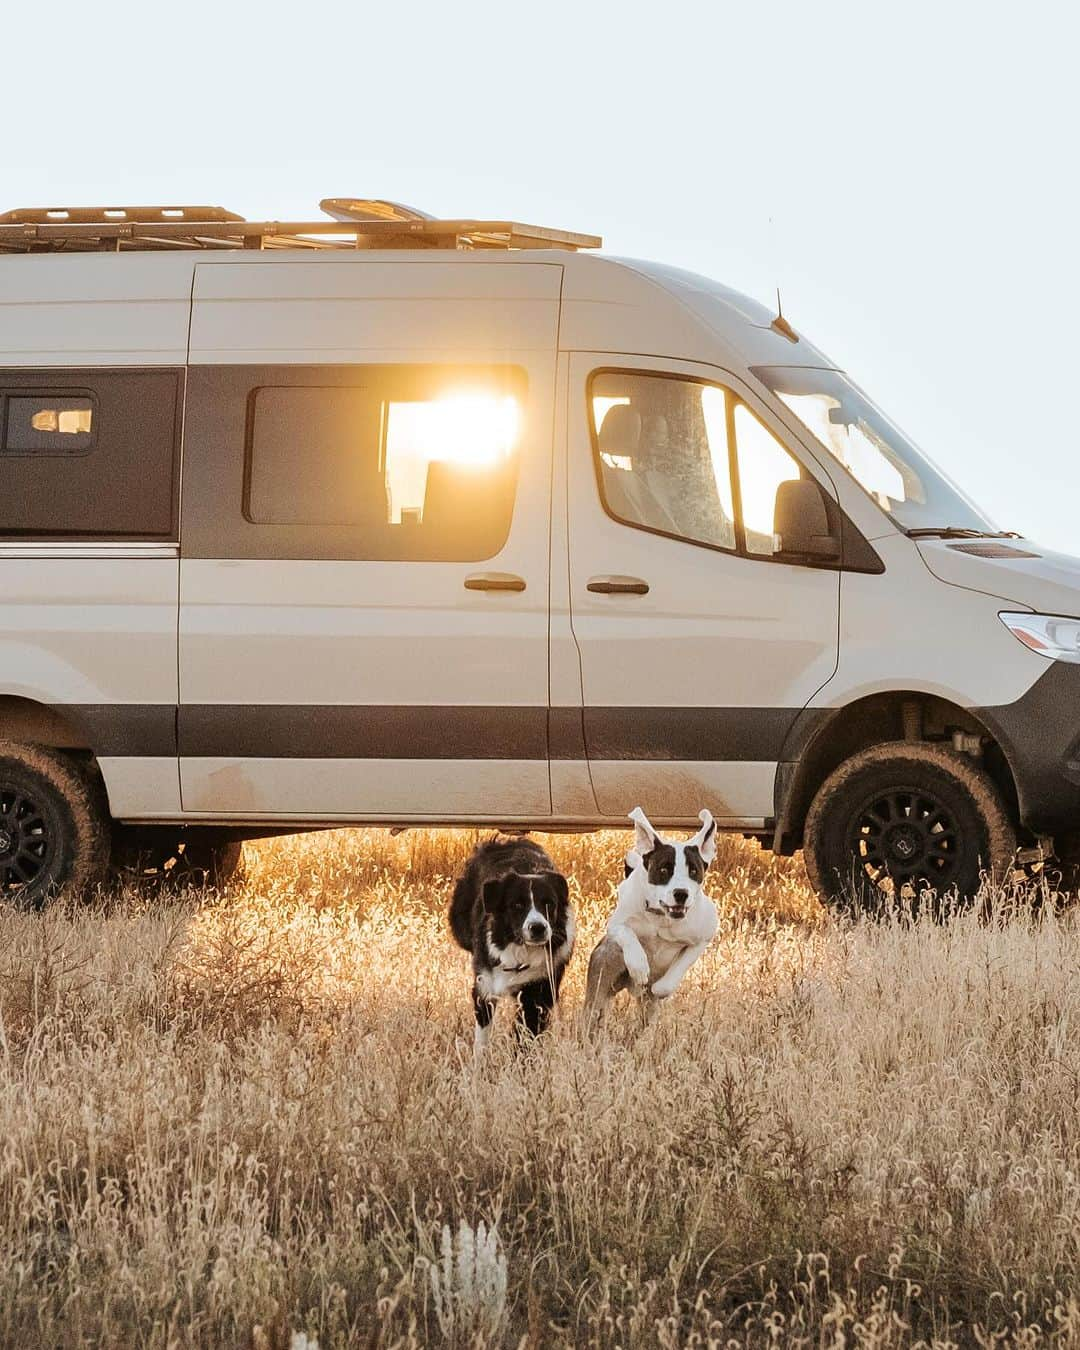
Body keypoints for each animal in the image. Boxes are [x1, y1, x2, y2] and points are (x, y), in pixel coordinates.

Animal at [448, 842, 577, 1053]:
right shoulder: (485, 985)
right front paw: (479, 1060)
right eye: (517, 905)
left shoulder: (537, 992)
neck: (520, 953)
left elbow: (526, 1034)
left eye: (549, 904)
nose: (538, 928)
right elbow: (482, 1034)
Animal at [583, 804, 718, 1015]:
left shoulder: (704, 936)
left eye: (694, 871)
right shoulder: (616, 923)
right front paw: (638, 967)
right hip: (599, 993)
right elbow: (628, 935)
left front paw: (658, 987)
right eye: (664, 870)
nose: (681, 893)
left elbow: (672, 976)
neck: (662, 919)